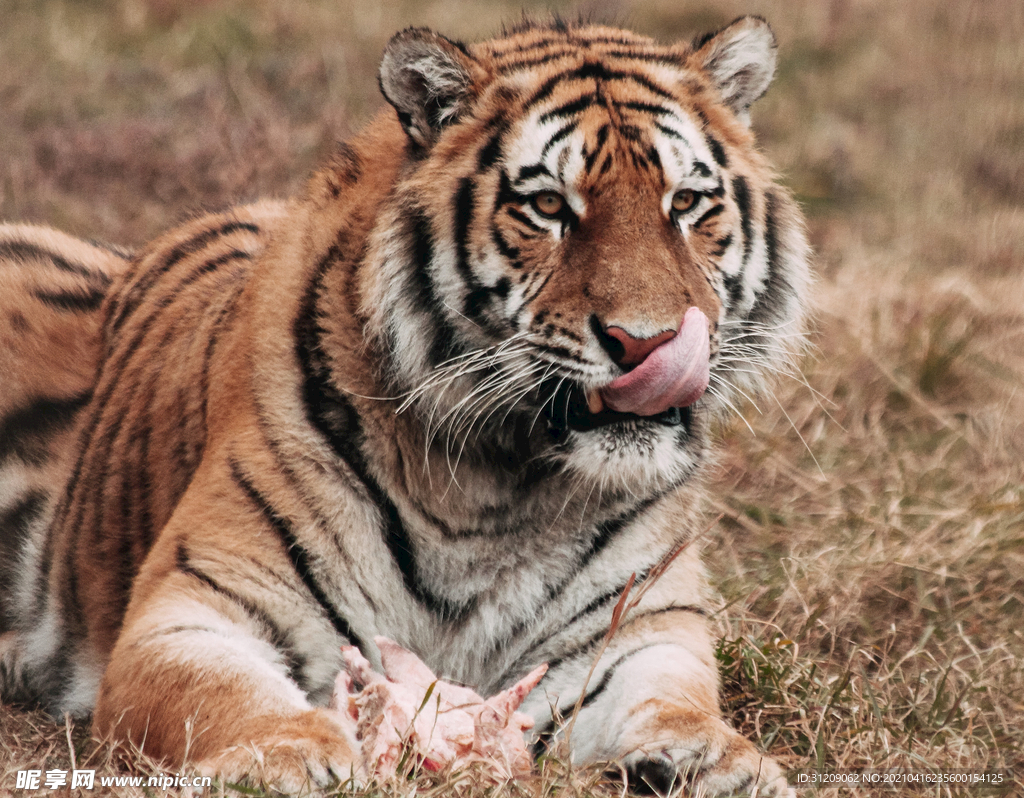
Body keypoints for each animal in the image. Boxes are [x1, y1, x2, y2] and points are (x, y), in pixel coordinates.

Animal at [0, 16, 809, 797]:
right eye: (548, 206)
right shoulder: (196, 607)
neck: (500, 486)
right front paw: (291, 753)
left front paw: (723, 762)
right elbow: (225, 695)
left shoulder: (642, 629)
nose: (648, 343)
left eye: (686, 203)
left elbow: (669, 702)